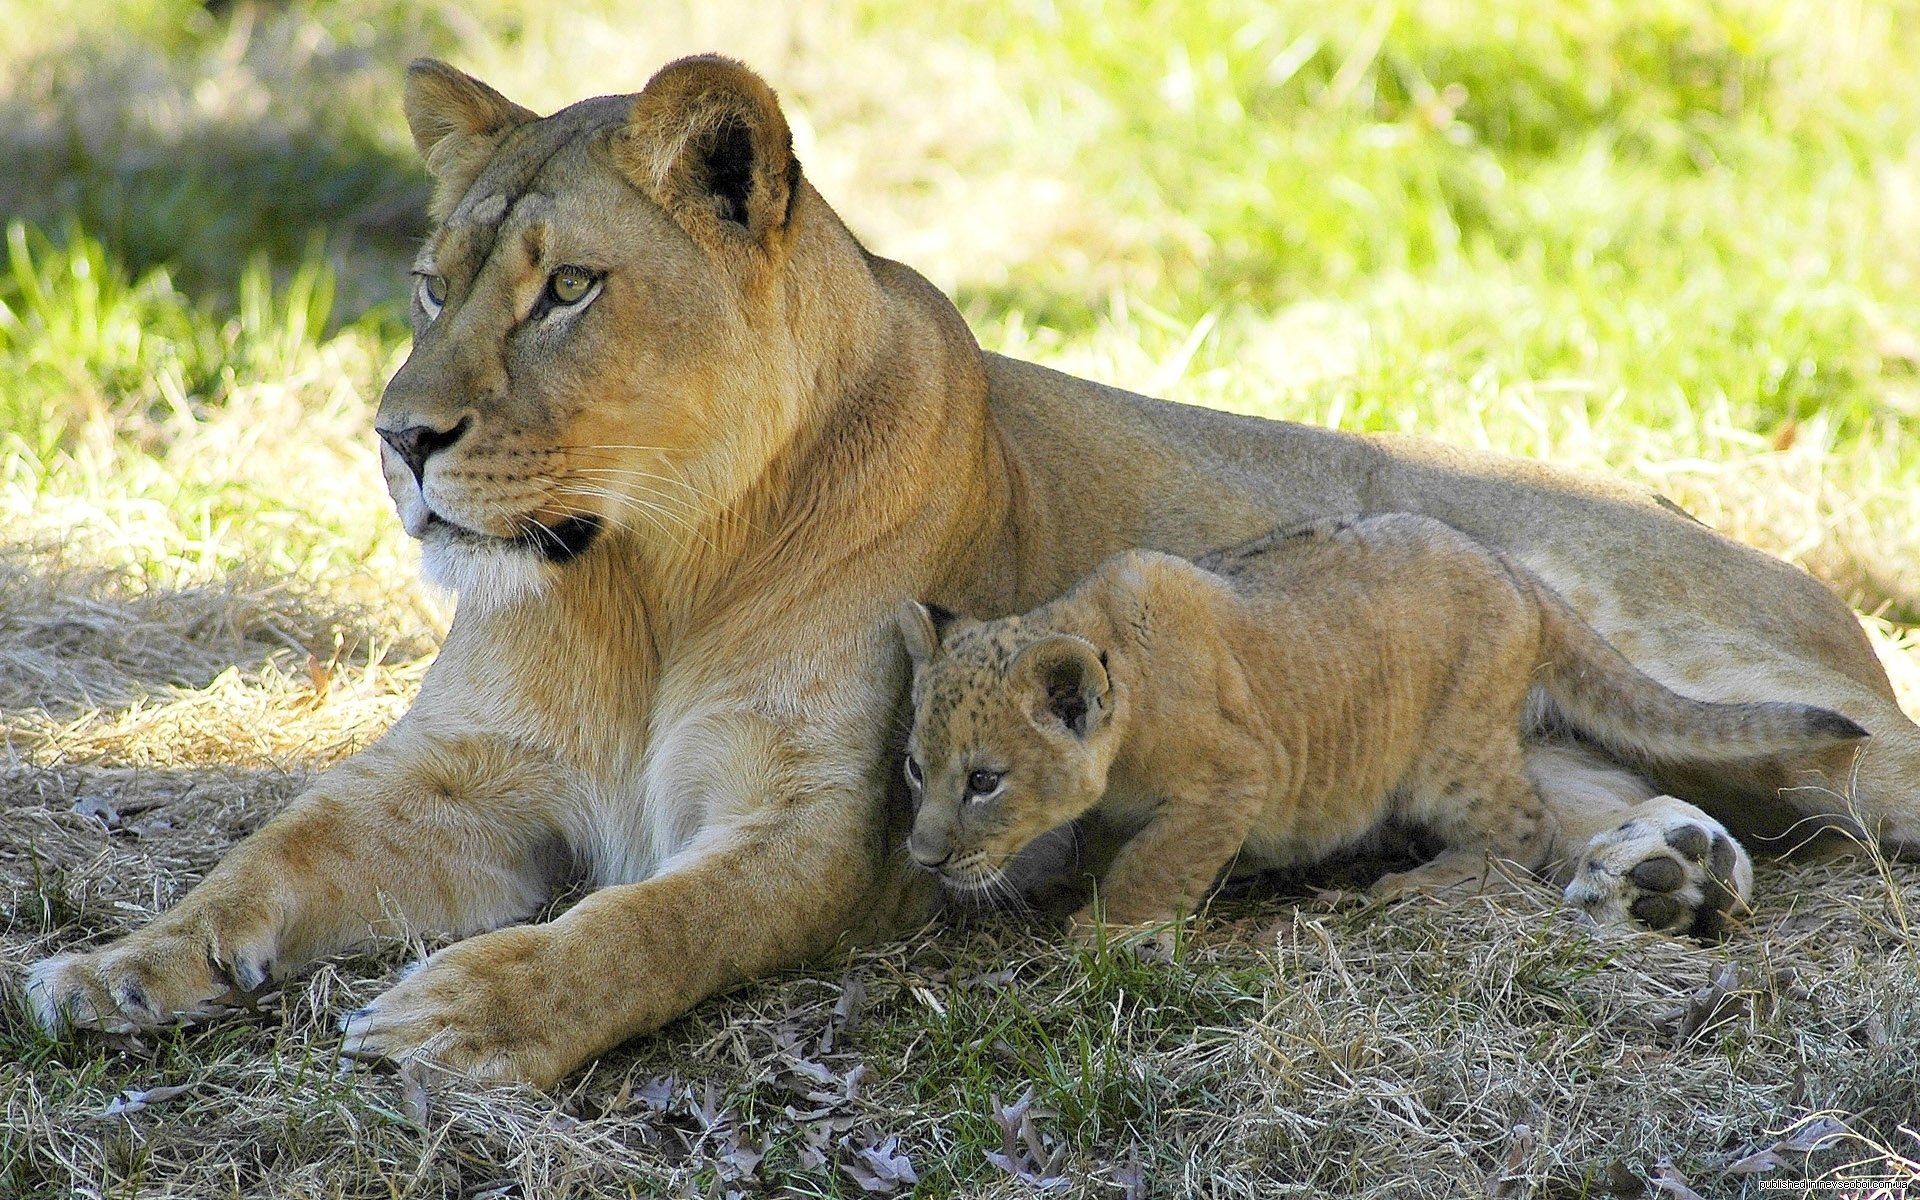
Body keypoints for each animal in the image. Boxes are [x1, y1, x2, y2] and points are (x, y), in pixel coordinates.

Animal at [895, 515, 1869, 941]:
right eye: (914, 770)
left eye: (983, 781)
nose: (923, 857)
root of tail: (1520, 577)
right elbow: (1113, 845)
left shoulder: (1235, 775)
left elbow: (1155, 864)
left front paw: (1105, 939)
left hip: (1448, 752)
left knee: (1525, 830)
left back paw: (1411, 888)